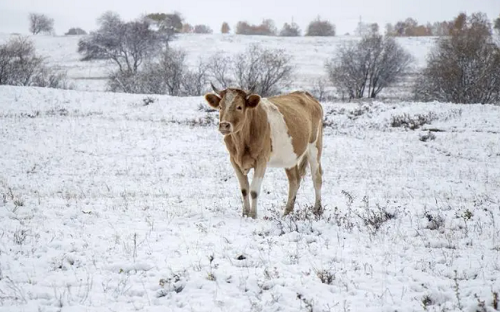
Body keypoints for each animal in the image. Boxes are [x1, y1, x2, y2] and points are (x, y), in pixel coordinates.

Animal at [204, 84, 324, 218]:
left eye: (239, 107)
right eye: (220, 107)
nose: (224, 125)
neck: (241, 142)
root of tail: (306, 95)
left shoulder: (262, 160)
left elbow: (254, 190)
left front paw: (253, 216)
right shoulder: (234, 160)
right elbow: (244, 190)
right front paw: (245, 214)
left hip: (315, 147)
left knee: (317, 178)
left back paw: (317, 210)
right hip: (289, 156)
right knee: (294, 181)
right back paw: (287, 212)